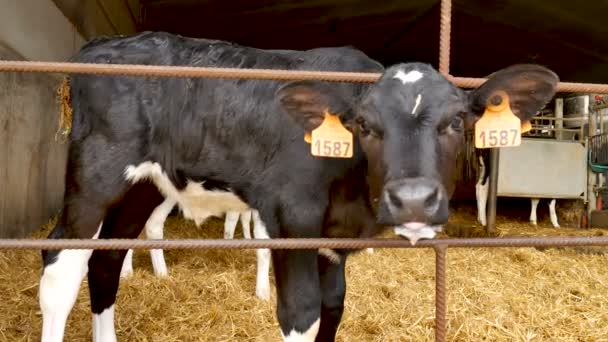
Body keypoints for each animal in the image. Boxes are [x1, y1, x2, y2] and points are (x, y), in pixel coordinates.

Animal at [40, 30, 560, 340]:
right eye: (365, 125)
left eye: (455, 121)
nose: (413, 200)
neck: (352, 195)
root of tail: (101, 45)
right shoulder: (292, 216)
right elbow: (302, 313)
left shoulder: (334, 238)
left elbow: (333, 306)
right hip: (97, 170)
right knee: (61, 265)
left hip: (144, 185)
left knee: (105, 261)